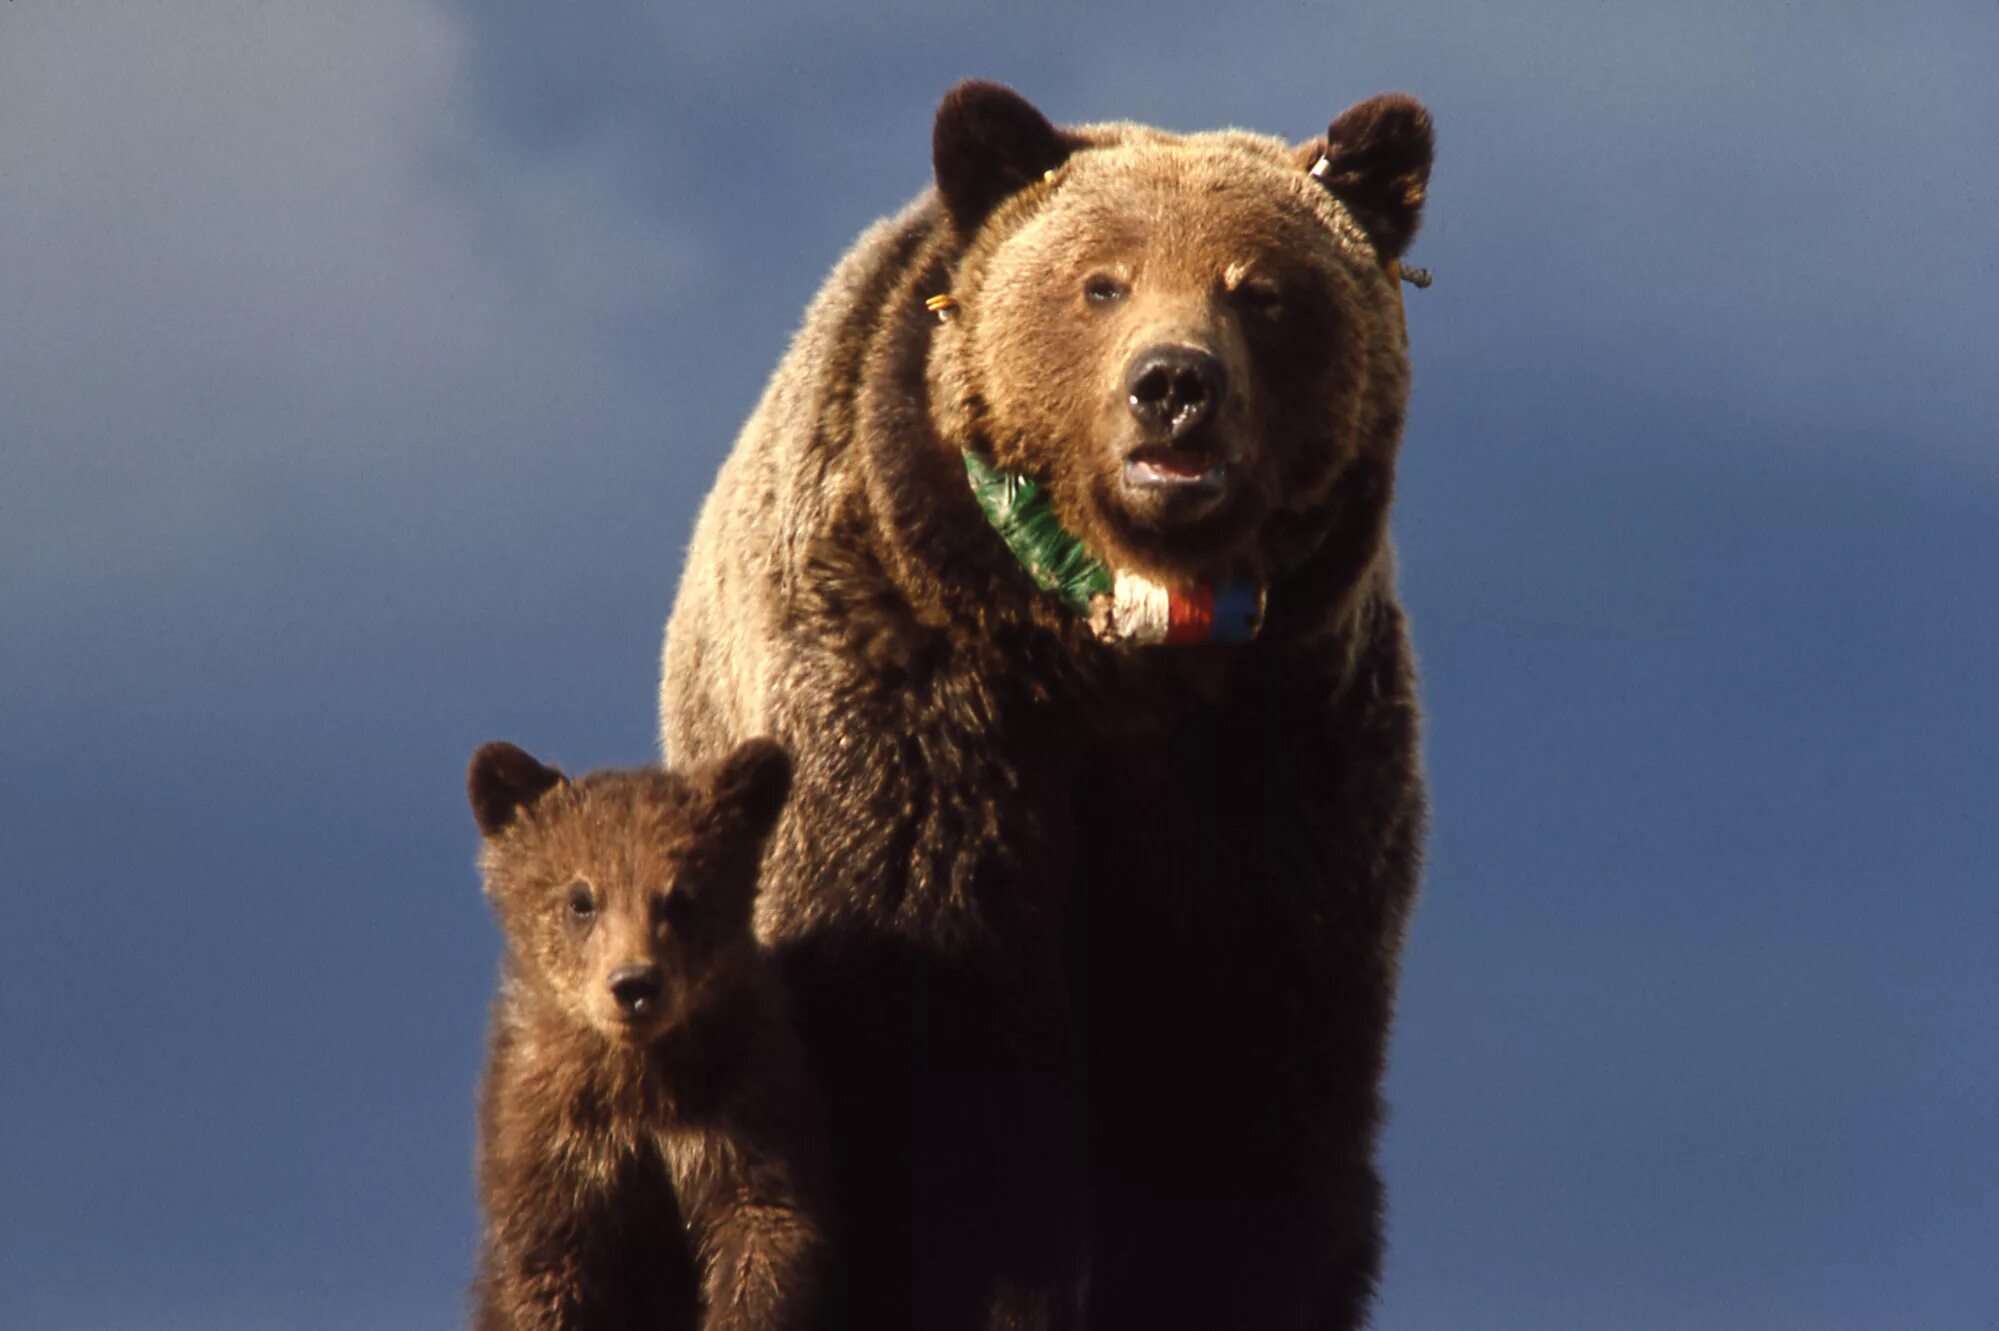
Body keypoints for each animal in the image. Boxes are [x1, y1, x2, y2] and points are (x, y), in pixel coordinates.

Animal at [663, 82, 1431, 1327]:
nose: (1173, 386)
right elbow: (953, 1079)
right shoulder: (917, 718)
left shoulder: (1281, 765)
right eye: (1101, 281)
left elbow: (1246, 1097)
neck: (1114, 652)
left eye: (1260, 288)